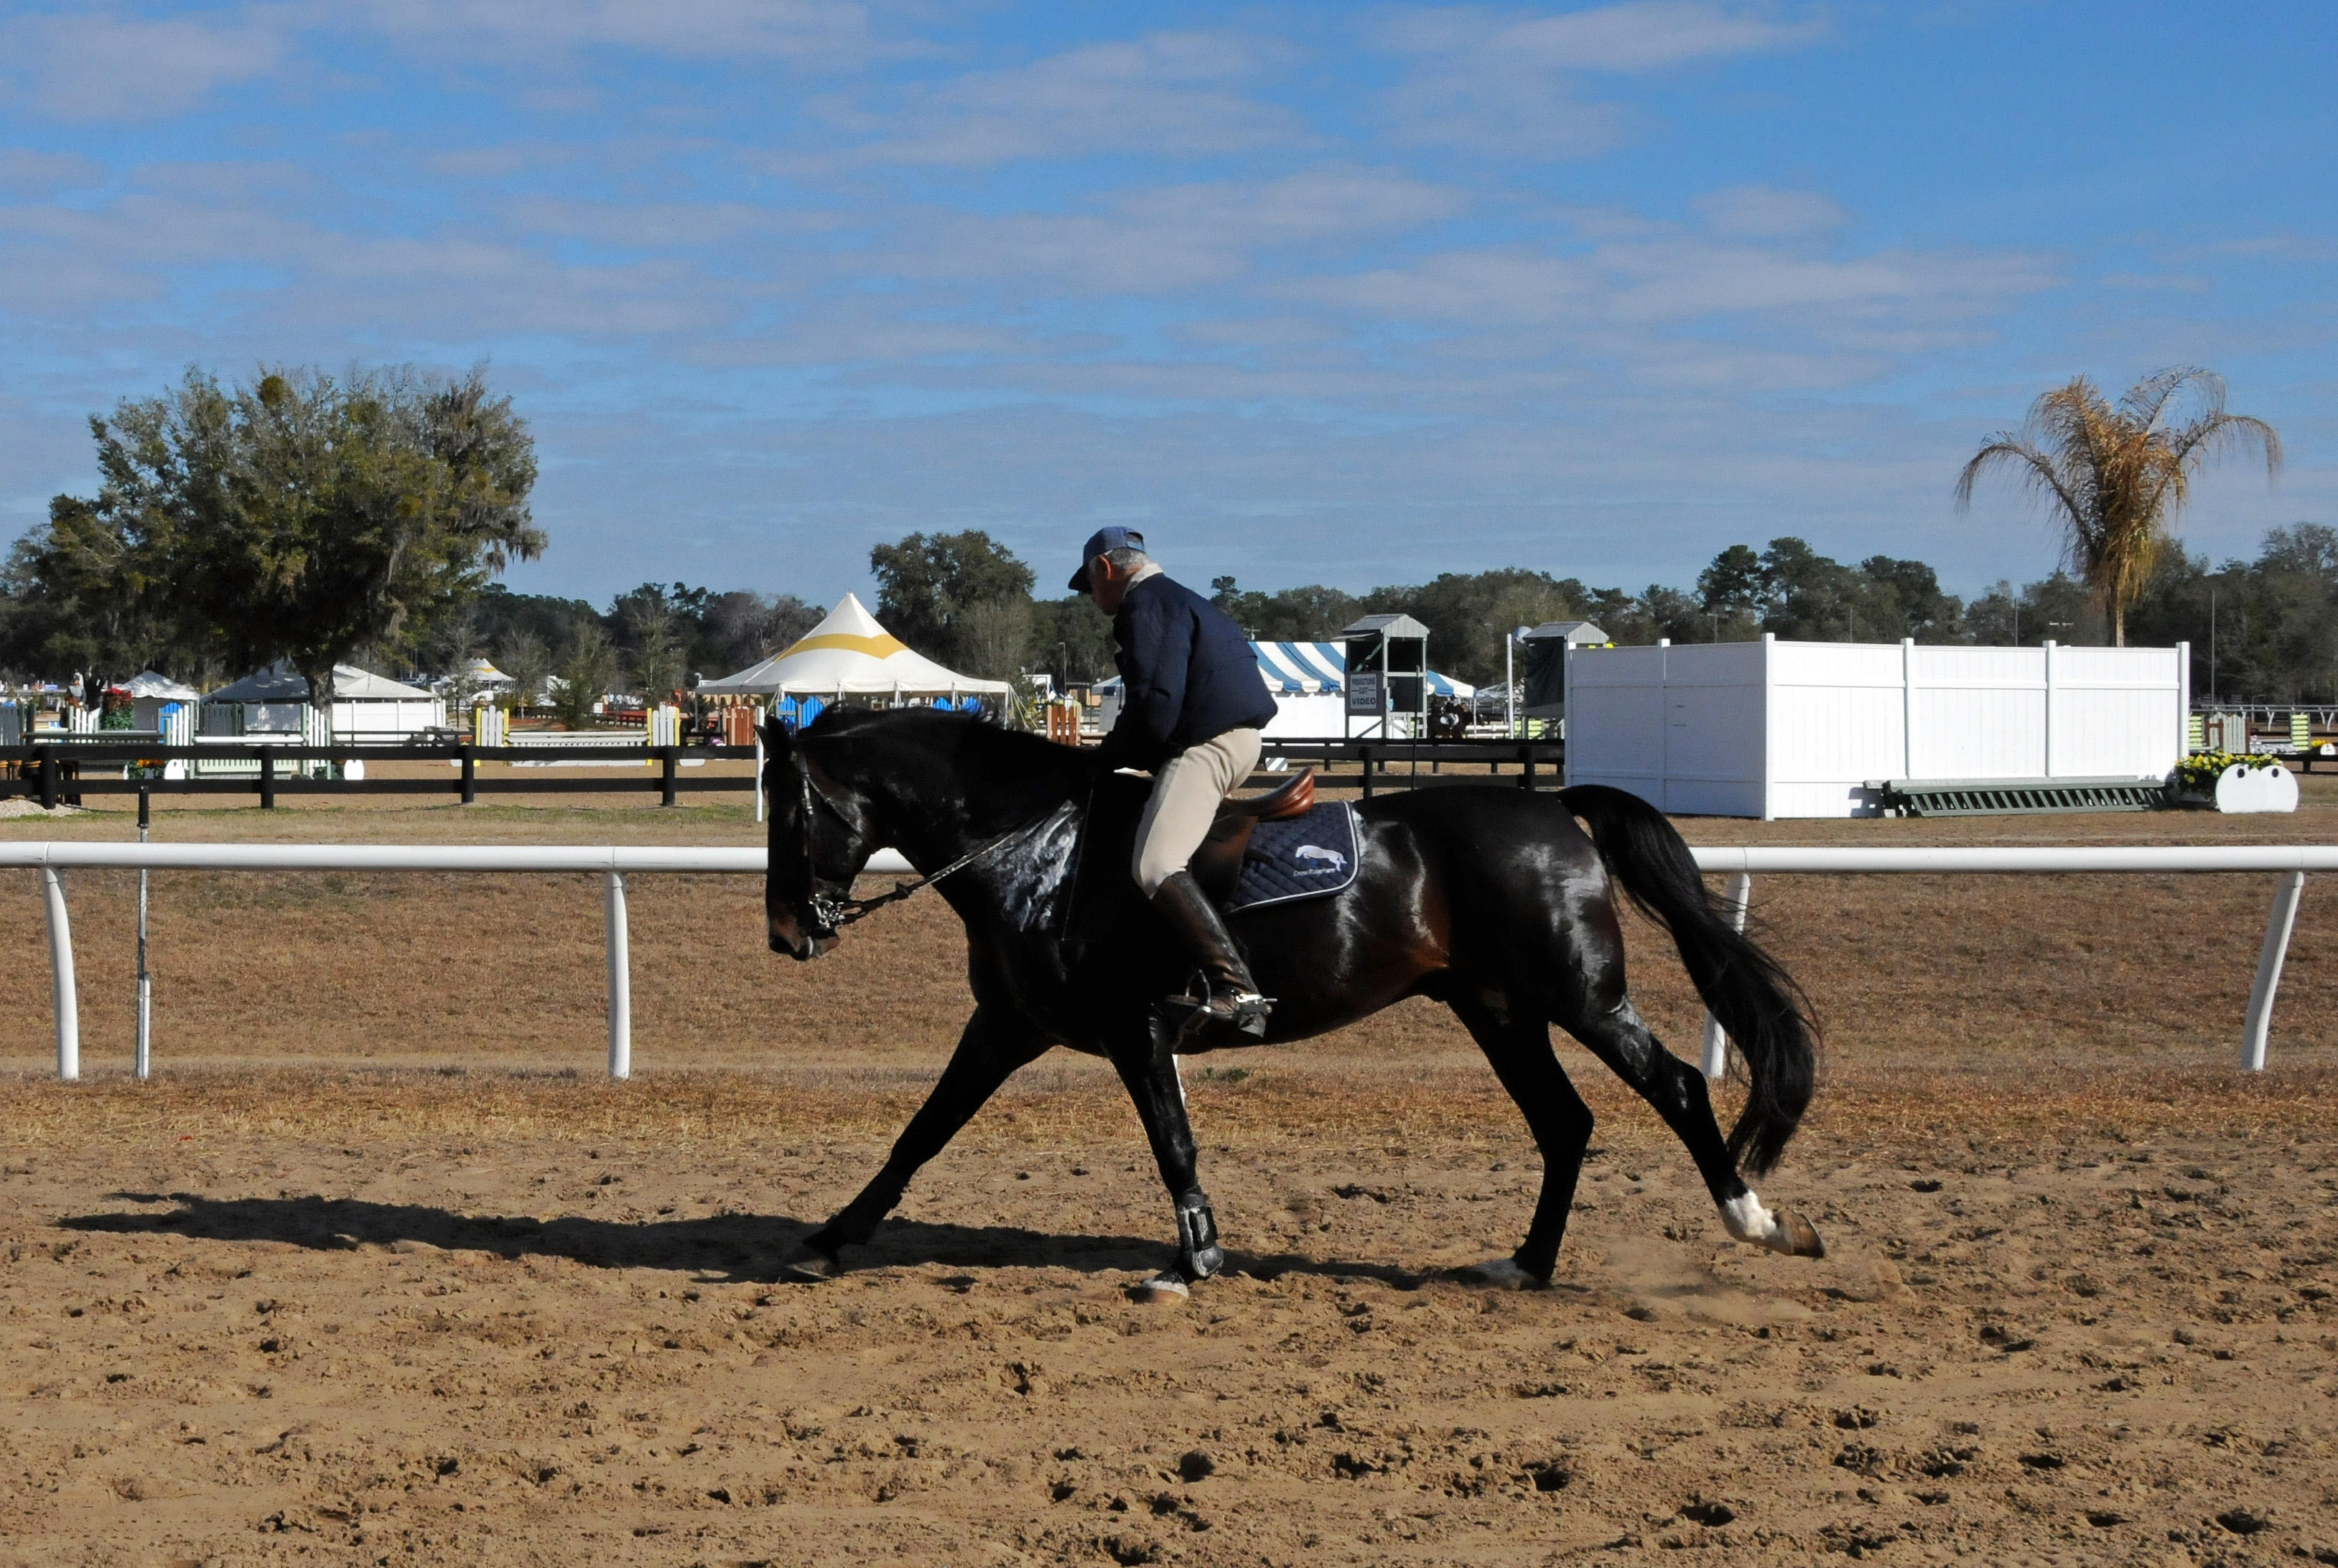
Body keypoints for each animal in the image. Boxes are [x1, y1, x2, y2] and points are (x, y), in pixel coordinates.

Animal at [766, 710, 1823, 1299]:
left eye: (790, 810)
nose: (786, 934)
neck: (1039, 850)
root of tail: (1550, 803)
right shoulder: (1008, 1027)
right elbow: (921, 1132)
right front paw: (831, 1239)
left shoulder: (1133, 1029)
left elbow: (1173, 1144)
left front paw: (1195, 1260)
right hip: (1497, 1008)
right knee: (1564, 1123)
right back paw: (1526, 1265)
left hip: (1580, 996)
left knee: (1676, 1088)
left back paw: (1760, 1223)